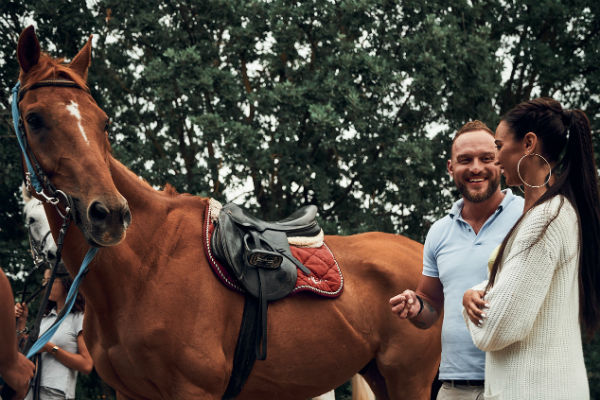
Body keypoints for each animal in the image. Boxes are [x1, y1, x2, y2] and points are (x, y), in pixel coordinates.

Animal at [14, 27, 440, 400]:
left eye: (103, 121)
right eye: (35, 119)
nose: (110, 214)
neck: (148, 263)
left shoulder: (193, 390)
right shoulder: (130, 393)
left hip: (409, 380)